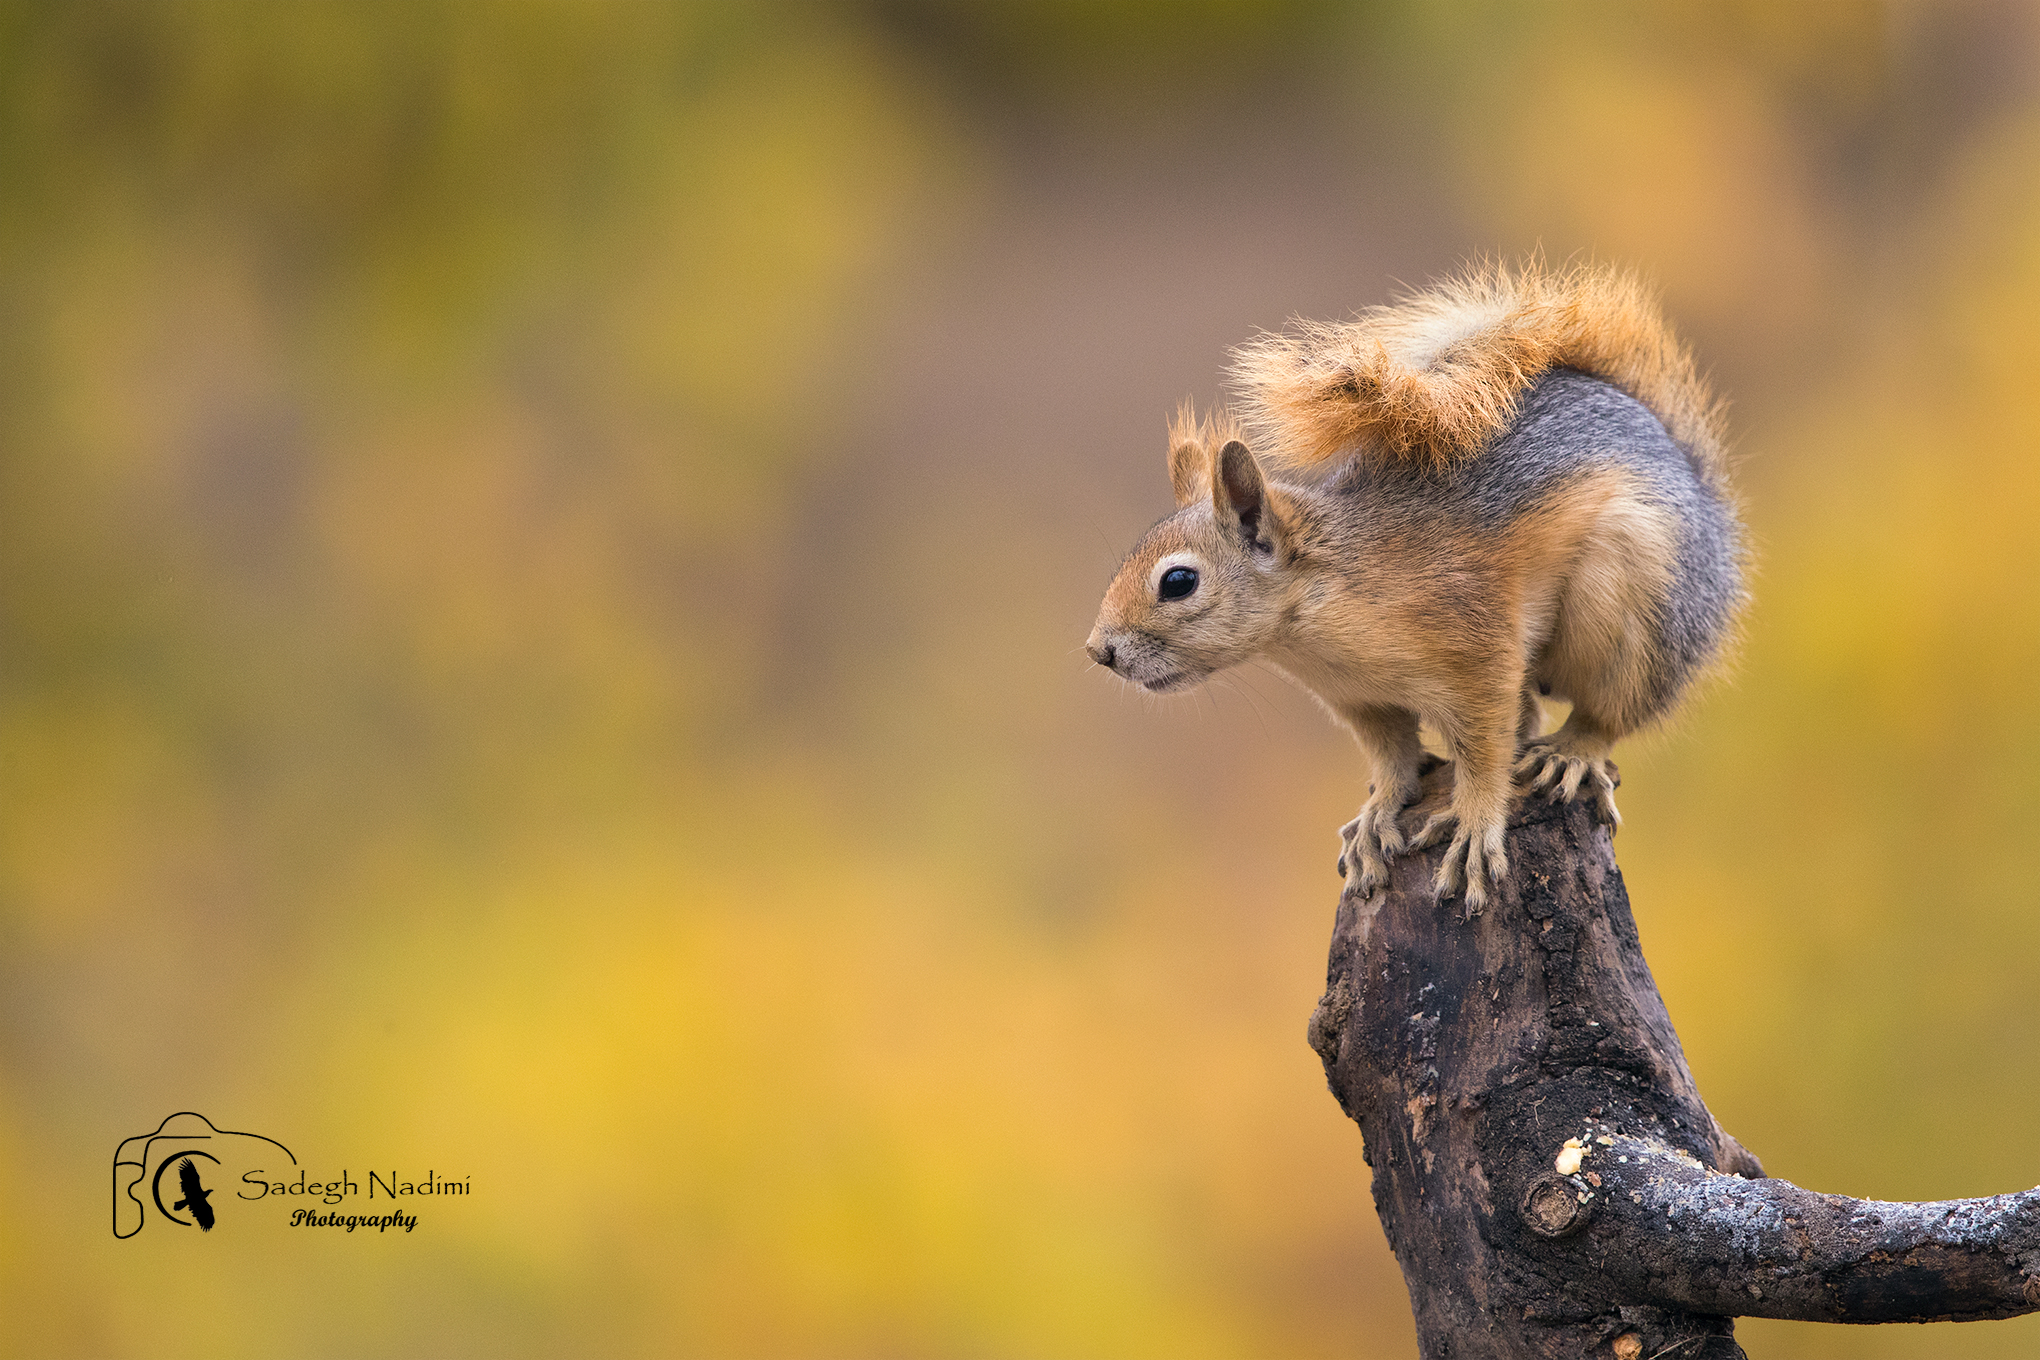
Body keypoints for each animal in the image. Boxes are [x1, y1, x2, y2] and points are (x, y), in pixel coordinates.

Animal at [1084, 260, 1745, 910]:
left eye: (1178, 581)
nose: (1099, 651)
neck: (1316, 623)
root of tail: (1710, 512)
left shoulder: (1479, 655)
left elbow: (1486, 752)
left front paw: (1475, 826)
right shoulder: (1363, 701)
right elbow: (1393, 760)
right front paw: (1375, 816)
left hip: (1639, 607)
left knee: (1608, 708)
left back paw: (1572, 752)